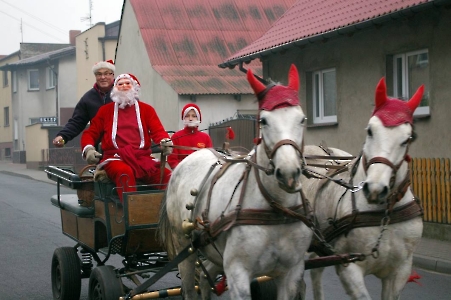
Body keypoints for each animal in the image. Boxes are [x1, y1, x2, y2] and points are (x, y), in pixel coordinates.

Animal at [160, 64, 314, 298]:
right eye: (263, 121)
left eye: (302, 119)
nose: (288, 173)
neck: (275, 209)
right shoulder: (238, 273)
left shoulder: (291, 273)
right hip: (184, 247)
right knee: (188, 287)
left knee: (204, 278)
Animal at [304, 78, 424, 300]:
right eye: (370, 130)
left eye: (408, 138)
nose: (375, 189)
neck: (384, 214)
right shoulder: (348, 267)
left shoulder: (400, 272)